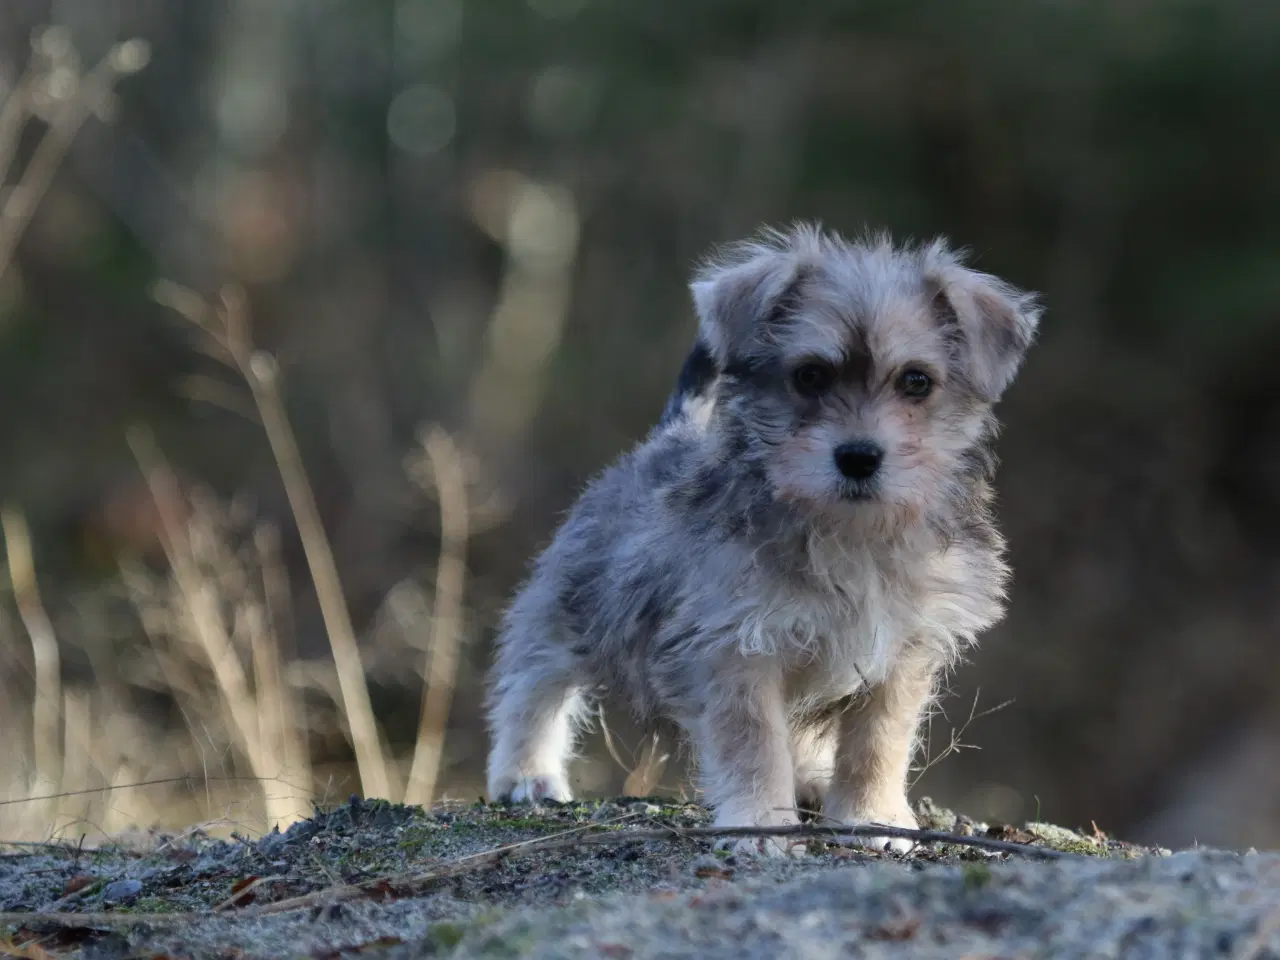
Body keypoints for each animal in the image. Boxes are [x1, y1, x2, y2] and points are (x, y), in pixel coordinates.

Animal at [481, 225, 1039, 855]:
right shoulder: (737, 647)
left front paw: (871, 816)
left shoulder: (901, 652)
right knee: (533, 681)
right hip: (572, 607)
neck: (849, 535)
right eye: (810, 375)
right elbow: (752, 741)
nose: (858, 457)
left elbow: (878, 741)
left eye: (916, 381)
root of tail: (670, 432)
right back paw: (525, 774)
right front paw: (760, 821)